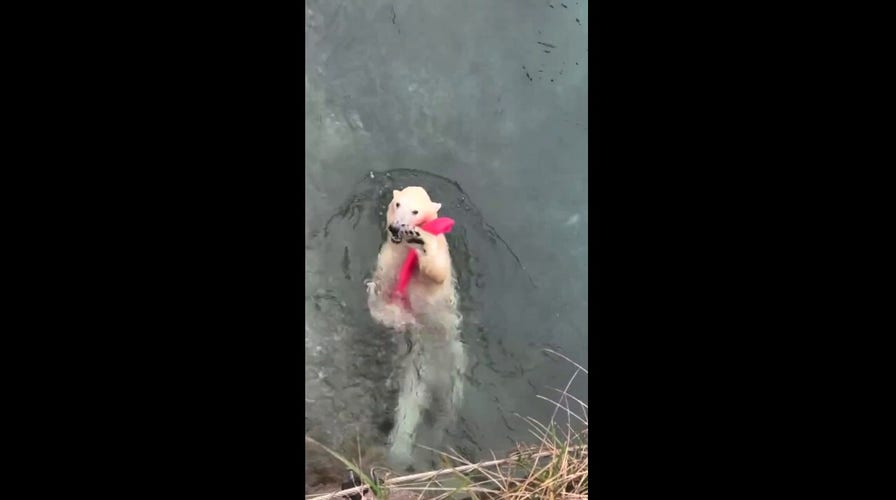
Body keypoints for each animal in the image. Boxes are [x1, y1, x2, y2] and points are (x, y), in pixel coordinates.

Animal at [365, 186, 467, 468]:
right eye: (397, 204)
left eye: (415, 211)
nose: (396, 227)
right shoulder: (387, 258)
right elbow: (381, 295)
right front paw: (401, 318)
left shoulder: (441, 251)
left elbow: (437, 270)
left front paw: (419, 239)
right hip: (413, 368)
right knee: (411, 401)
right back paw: (399, 452)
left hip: (455, 359)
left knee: (449, 400)